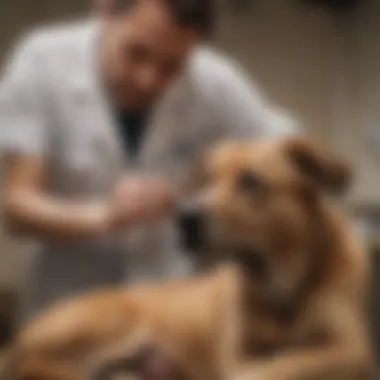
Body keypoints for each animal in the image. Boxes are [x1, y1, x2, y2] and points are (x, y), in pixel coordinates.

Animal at [0, 137, 374, 380]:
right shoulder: (238, 353)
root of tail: (19, 337)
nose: (185, 217)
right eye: (207, 180)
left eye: (250, 180)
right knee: (36, 365)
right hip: (110, 322)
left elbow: (288, 364)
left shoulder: (352, 348)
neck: (278, 287)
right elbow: (261, 367)